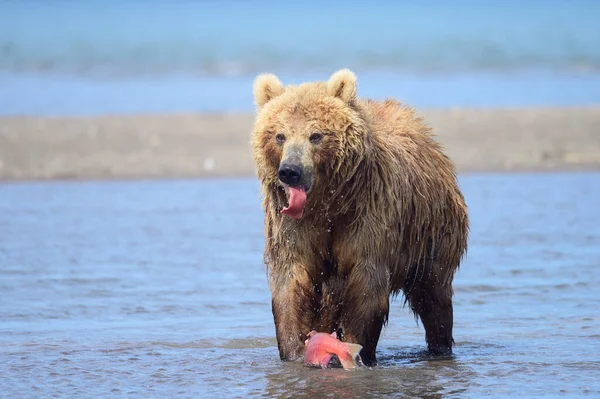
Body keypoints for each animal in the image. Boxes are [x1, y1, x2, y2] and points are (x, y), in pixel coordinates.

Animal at [248, 69, 468, 368]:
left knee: (434, 296)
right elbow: (291, 283)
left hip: (432, 234)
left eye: (315, 135)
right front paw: (293, 353)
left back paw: (440, 347)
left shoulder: (368, 217)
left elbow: (366, 286)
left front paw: (358, 353)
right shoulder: (293, 228)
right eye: (280, 135)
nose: (290, 171)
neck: (327, 205)